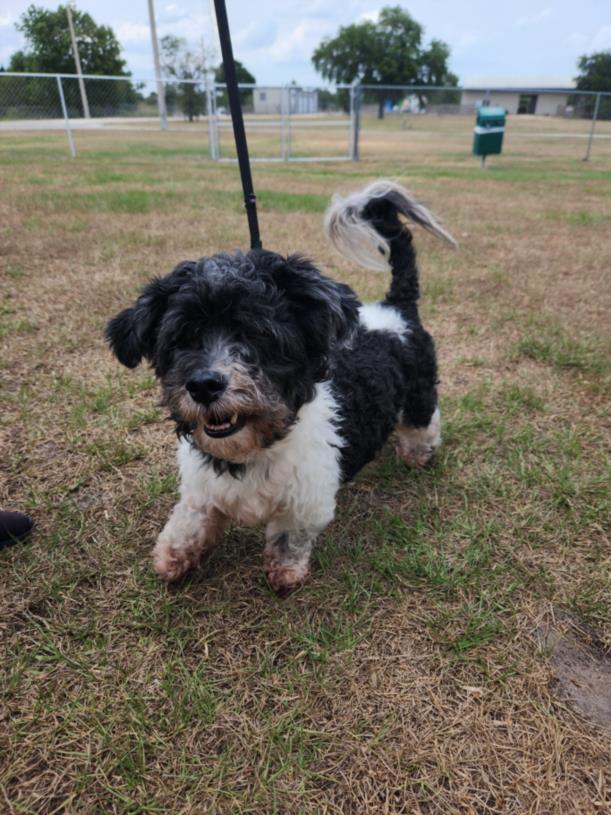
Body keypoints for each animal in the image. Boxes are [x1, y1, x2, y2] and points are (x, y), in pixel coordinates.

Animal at [106, 180, 454, 592]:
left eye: (256, 334)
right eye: (180, 339)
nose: (204, 385)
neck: (254, 447)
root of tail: (396, 309)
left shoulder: (308, 499)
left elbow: (289, 536)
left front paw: (285, 572)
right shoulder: (202, 488)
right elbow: (189, 520)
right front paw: (172, 557)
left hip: (419, 392)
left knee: (423, 420)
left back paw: (417, 453)